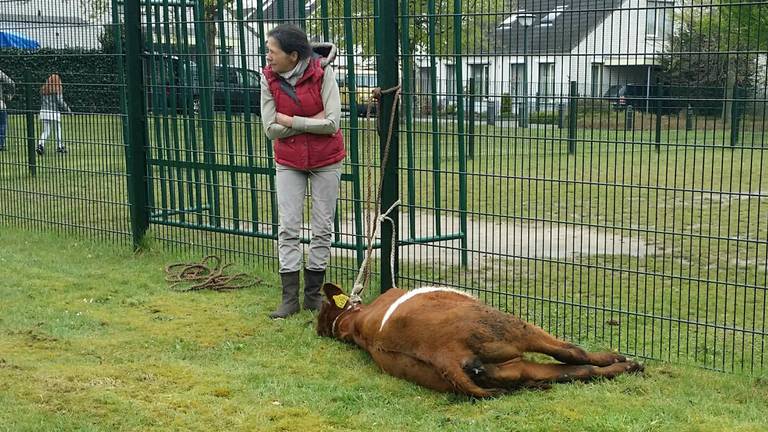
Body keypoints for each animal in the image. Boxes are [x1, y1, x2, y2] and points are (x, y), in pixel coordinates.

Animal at [316, 282, 644, 396]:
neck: (356, 322)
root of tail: (443, 355)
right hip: (514, 328)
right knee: (574, 355)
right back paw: (622, 361)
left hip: (514, 366)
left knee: (576, 370)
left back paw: (624, 368)